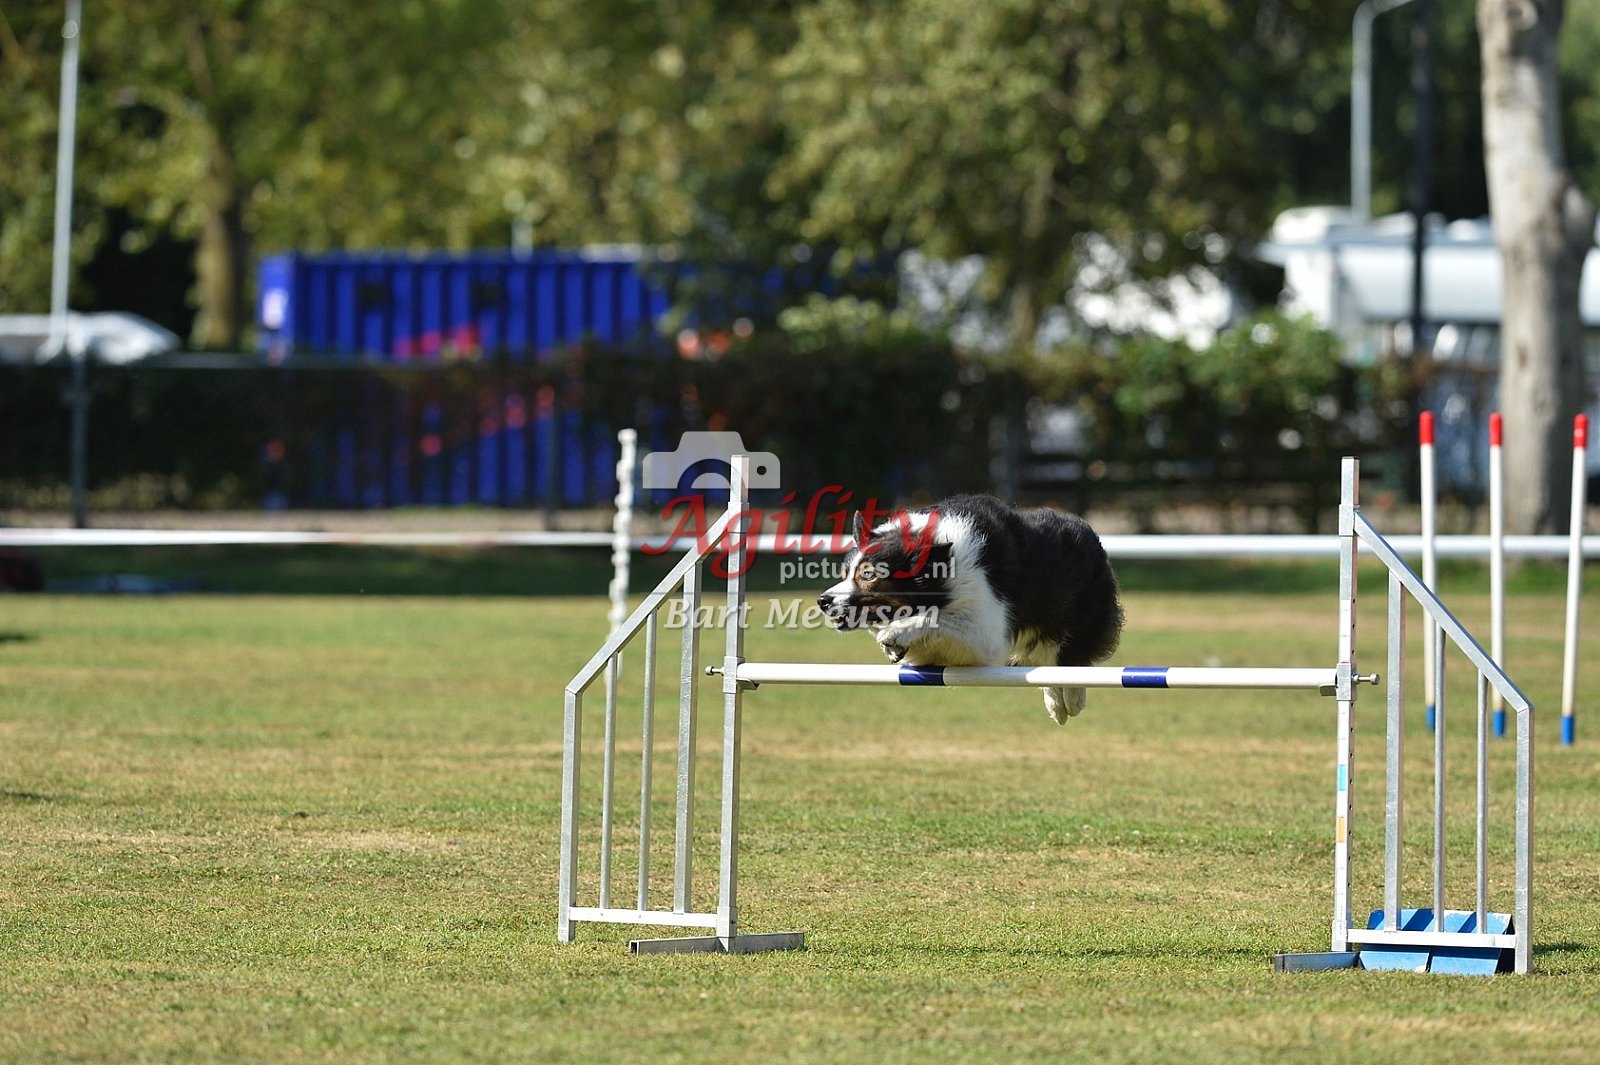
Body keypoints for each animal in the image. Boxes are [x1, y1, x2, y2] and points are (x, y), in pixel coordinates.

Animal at [816, 496, 1123, 724]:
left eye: (868, 575)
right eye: (844, 573)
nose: (823, 600)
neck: (944, 566)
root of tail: (1088, 530)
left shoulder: (986, 636)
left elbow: (937, 618)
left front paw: (897, 631)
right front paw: (895, 644)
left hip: (1079, 615)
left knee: (1069, 656)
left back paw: (1069, 699)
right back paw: (1056, 701)